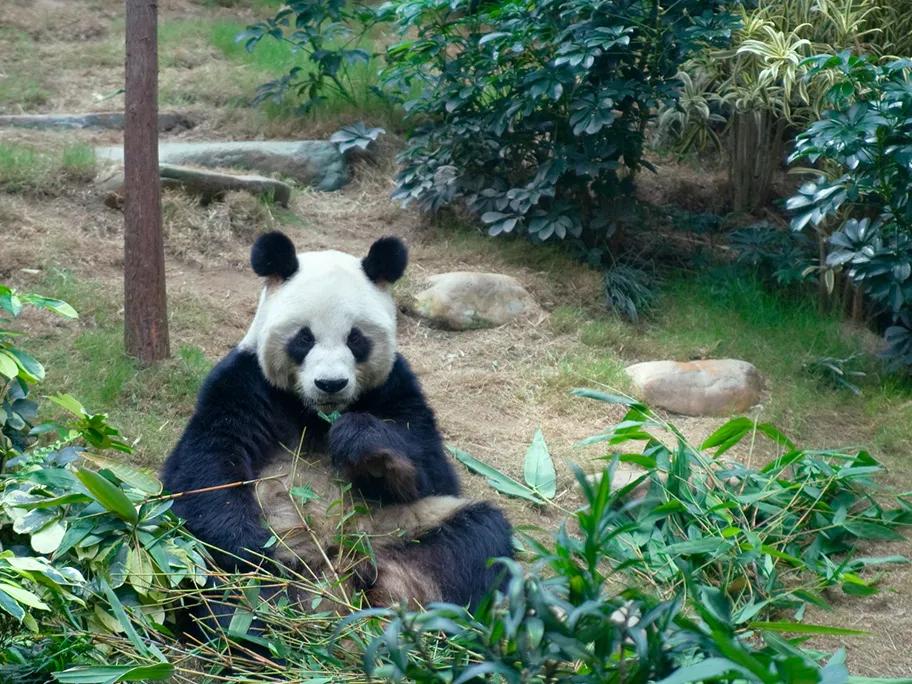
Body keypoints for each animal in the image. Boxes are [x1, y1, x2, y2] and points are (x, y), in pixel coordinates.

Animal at [162, 231, 513, 612]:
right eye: (304, 337)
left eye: (355, 338)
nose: (331, 383)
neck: (315, 413)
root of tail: (332, 577)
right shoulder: (245, 385)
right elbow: (207, 466)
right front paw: (251, 549)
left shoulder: (395, 387)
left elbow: (431, 469)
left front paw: (364, 447)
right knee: (220, 584)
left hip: (404, 527)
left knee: (475, 537)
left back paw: (398, 590)